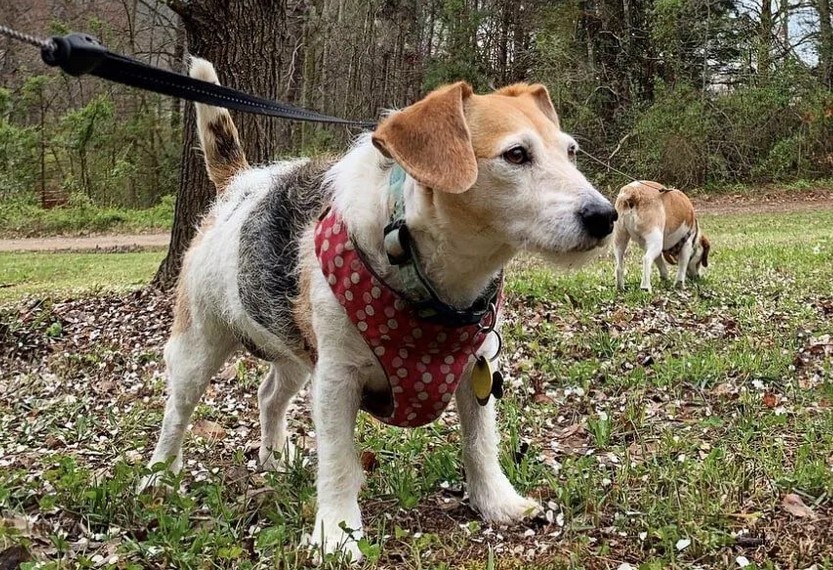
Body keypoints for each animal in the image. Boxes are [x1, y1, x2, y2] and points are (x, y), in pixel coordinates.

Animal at [143, 57, 616, 560]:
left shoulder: (478, 371)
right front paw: (335, 535)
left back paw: (274, 458)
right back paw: (157, 477)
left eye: (570, 151)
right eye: (516, 155)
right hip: (200, 346)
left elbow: (480, 444)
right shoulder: (337, 380)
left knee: (269, 396)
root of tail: (241, 186)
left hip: (296, 350)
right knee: (177, 414)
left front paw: (497, 503)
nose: (605, 216)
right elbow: (338, 461)